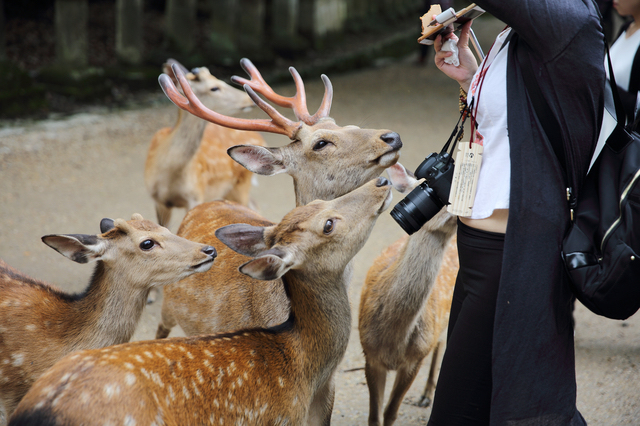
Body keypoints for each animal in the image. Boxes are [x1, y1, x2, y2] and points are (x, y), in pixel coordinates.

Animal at [144, 59, 266, 230]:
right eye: (214, 88)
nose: (248, 99)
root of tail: (260, 137)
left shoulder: (196, 195)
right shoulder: (158, 200)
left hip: (241, 183)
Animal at [358, 164, 458, 426]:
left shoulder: (415, 358)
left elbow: (390, 413)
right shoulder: (369, 354)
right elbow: (374, 416)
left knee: (440, 341)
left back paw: (426, 395)